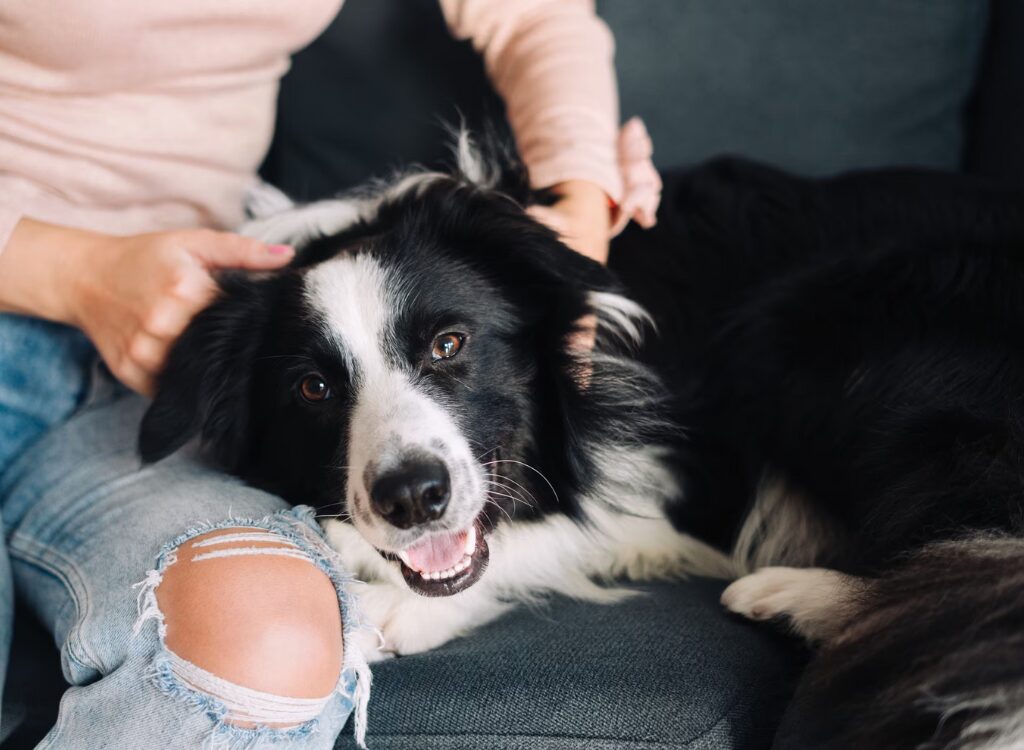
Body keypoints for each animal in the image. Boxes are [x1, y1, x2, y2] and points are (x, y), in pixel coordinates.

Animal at [140, 137, 1024, 745]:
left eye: (449, 344)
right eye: (314, 389)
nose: (412, 498)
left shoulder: (669, 471)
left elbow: (556, 535)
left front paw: (391, 604)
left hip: (804, 329)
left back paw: (797, 595)